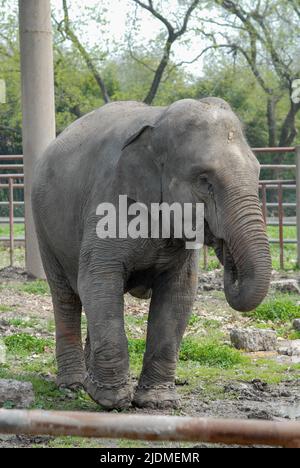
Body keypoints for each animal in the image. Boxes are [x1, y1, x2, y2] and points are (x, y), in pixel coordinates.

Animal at [32, 98, 272, 410]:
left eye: (257, 172)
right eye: (204, 179)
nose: (227, 255)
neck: (157, 125)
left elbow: (178, 293)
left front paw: (157, 403)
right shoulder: (110, 199)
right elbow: (98, 279)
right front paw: (112, 401)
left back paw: (87, 382)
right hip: (44, 227)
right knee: (66, 296)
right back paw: (72, 386)